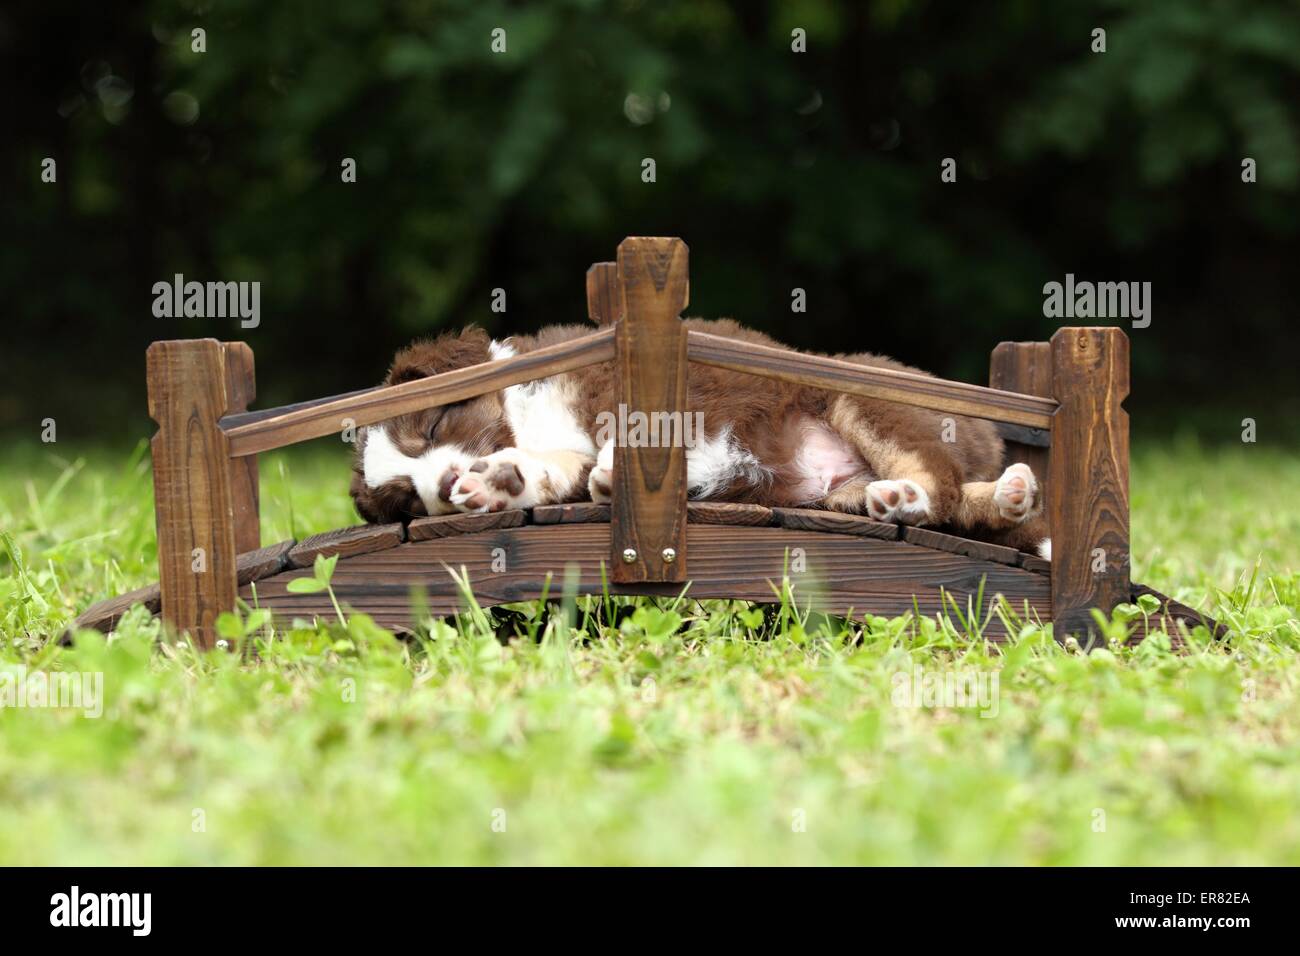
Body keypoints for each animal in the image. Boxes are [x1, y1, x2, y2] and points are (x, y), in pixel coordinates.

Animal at [351, 321, 1050, 556]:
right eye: (407, 500)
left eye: (432, 427)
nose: (443, 481)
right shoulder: (560, 454)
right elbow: (549, 471)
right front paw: (497, 484)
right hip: (835, 492)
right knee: (954, 500)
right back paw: (1000, 495)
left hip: (862, 399)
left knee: (941, 483)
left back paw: (923, 496)